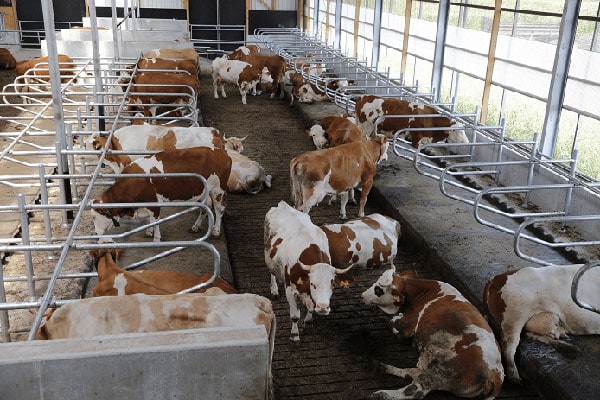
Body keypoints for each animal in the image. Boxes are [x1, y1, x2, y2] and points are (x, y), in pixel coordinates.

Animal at [91, 146, 232, 241]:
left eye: (95, 217)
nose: (96, 234)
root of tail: (221, 152)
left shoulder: (154, 202)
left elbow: (155, 220)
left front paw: (156, 238)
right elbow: (150, 220)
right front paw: (149, 232)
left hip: (218, 190)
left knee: (219, 209)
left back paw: (216, 231)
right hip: (204, 192)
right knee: (206, 207)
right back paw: (196, 226)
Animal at [264, 200, 356, 340]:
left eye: (332, 284)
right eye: (313, 284)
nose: (323, 308)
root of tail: (282, 204)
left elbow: (311, 309)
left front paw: (307, 322)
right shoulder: (289, 290)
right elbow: (294, 316)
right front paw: (294, 335)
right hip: (268, 253)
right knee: (272, 273)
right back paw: (274, 289)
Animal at [360, 268, 506, 400]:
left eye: (378, 289)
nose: (362, 295)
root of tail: (495, 376)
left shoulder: (407, 325)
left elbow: (392, 322)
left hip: (441, 372)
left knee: (415, 390)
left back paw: (379, 394)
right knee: (413, 373)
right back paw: (381, 367)